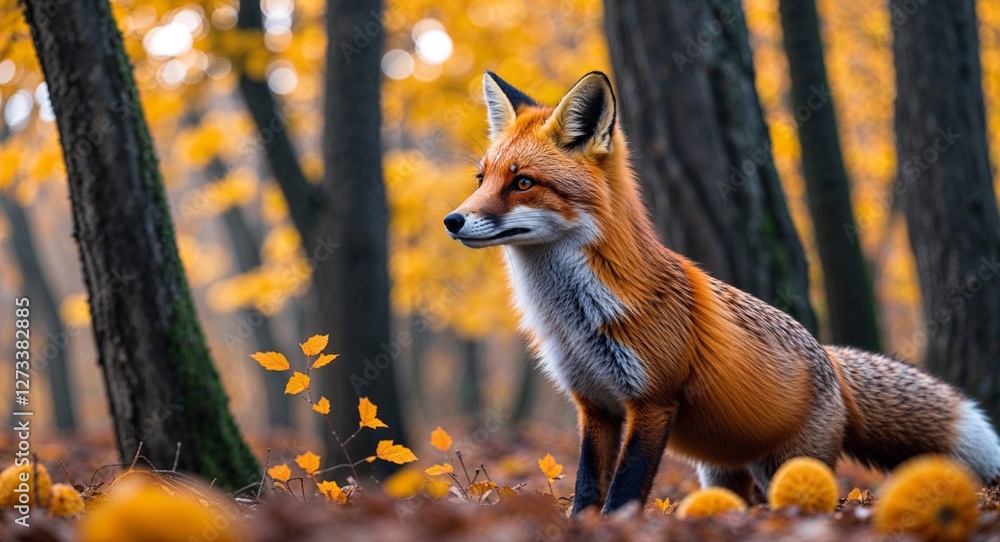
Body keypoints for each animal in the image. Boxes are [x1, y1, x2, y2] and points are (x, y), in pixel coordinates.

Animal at [443, 71, 1000, 514]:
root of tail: (831, 359)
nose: (452, 220)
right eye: (482, 178)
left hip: (789, 467)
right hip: (720, 470)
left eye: (523, 183)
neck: (574, 319)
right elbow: (586, 488)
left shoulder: (652, 400)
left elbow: (625, 489)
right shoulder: (594, 404)